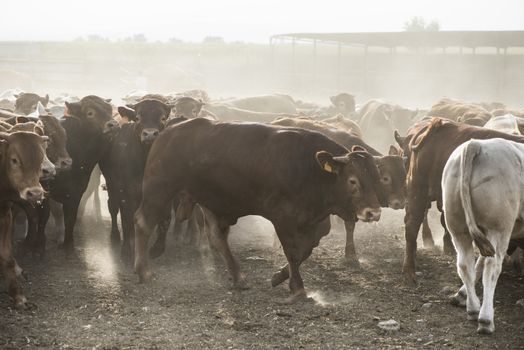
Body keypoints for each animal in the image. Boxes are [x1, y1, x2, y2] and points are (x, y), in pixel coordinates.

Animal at [133, 118, 382, 304]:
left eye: (377, 178)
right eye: (352, 181)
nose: (374, 213)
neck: (309, 169)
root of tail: (166, 133)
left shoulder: (316, 222)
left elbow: (306, 250)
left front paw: (279, 276)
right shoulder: (282, 219)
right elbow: (293, 252)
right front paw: (297, 288)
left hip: (210, 201)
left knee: (217, 238)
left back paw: (238, 276)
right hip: (159, 190)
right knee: (143, 223)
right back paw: (144, 271)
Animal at [442, 137, 524, 334]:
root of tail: (476, 144)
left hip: (458, 228)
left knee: (465, 265)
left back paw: (473, 308)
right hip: (498, 228)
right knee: (492, 268)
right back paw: (486, 319)